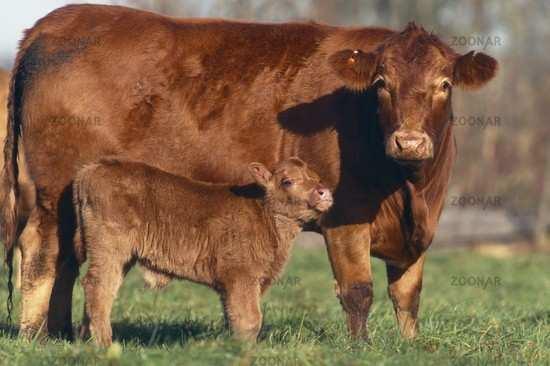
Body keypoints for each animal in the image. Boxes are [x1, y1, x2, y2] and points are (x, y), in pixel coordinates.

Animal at [73, 157, 332, 346]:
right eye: (287, 181)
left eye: (317, 178)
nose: (324, 192)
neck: (265, 215)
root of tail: (93, 168)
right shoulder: (241, 277)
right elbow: (249, 319)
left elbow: (232, 315)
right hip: (110, 249)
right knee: (97, 285)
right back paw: (105, 343)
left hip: (120, 257)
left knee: (104, 288)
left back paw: (87, 340)